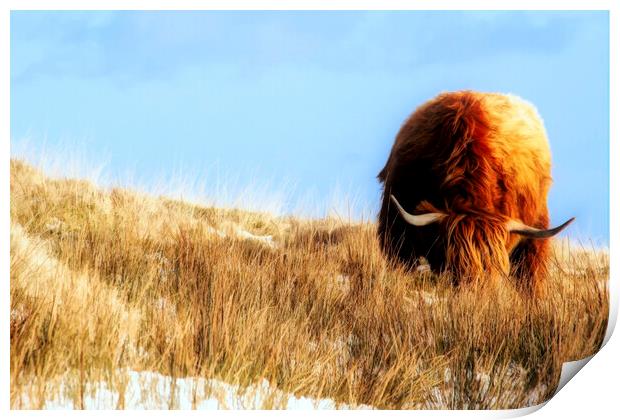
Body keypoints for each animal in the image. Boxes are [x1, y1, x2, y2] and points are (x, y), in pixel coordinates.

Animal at [378, 90, 576, 296]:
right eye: (456, 268)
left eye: (496, 271)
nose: (478, 293)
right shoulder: (396, 226)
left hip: (537, 224)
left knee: (531, 272)